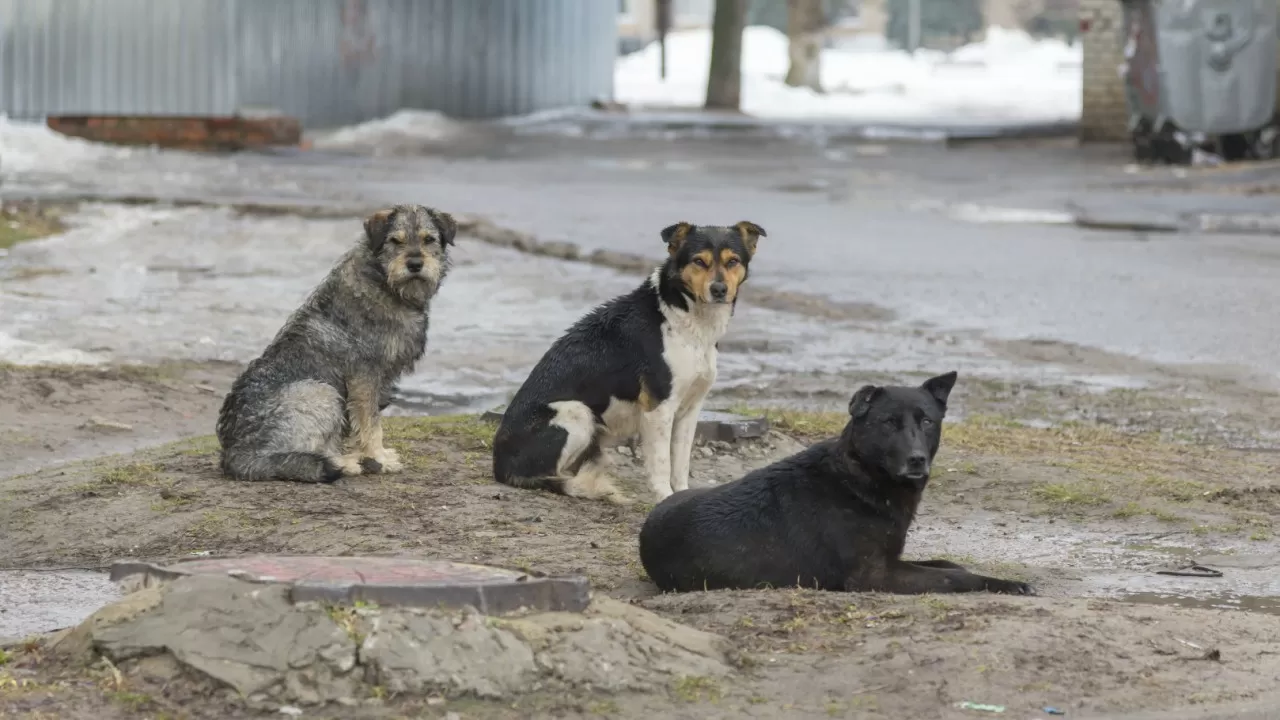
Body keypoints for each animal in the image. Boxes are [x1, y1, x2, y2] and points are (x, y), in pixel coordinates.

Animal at [217, 203, 458, 481]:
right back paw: (345, 464)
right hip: (321, 392)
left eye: (429, 239)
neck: (384, 283)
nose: (415, 264)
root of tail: (237, 454)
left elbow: (360, 426)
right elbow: (370, 423)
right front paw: (378, 458)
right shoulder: (365, 377)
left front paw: (371, 455)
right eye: (395, 241)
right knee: (296, 457)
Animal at [494, 221, 762, 502]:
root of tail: (499, 465)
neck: (684, 316)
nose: (719, 290)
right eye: (699, 261)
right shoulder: (659, 409)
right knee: (553, 475)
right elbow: (661, 464)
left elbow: (680, 464)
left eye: (733, 261)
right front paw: (664, 497)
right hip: (576, 412)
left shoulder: (690, 409)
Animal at [634, 368, 1034, 594]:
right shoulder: (875, 576)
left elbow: (949, 565)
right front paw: (1007, 585)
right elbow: (957, 577)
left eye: (926, 422)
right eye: (889, 422)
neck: (859, 478)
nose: (917, 459)